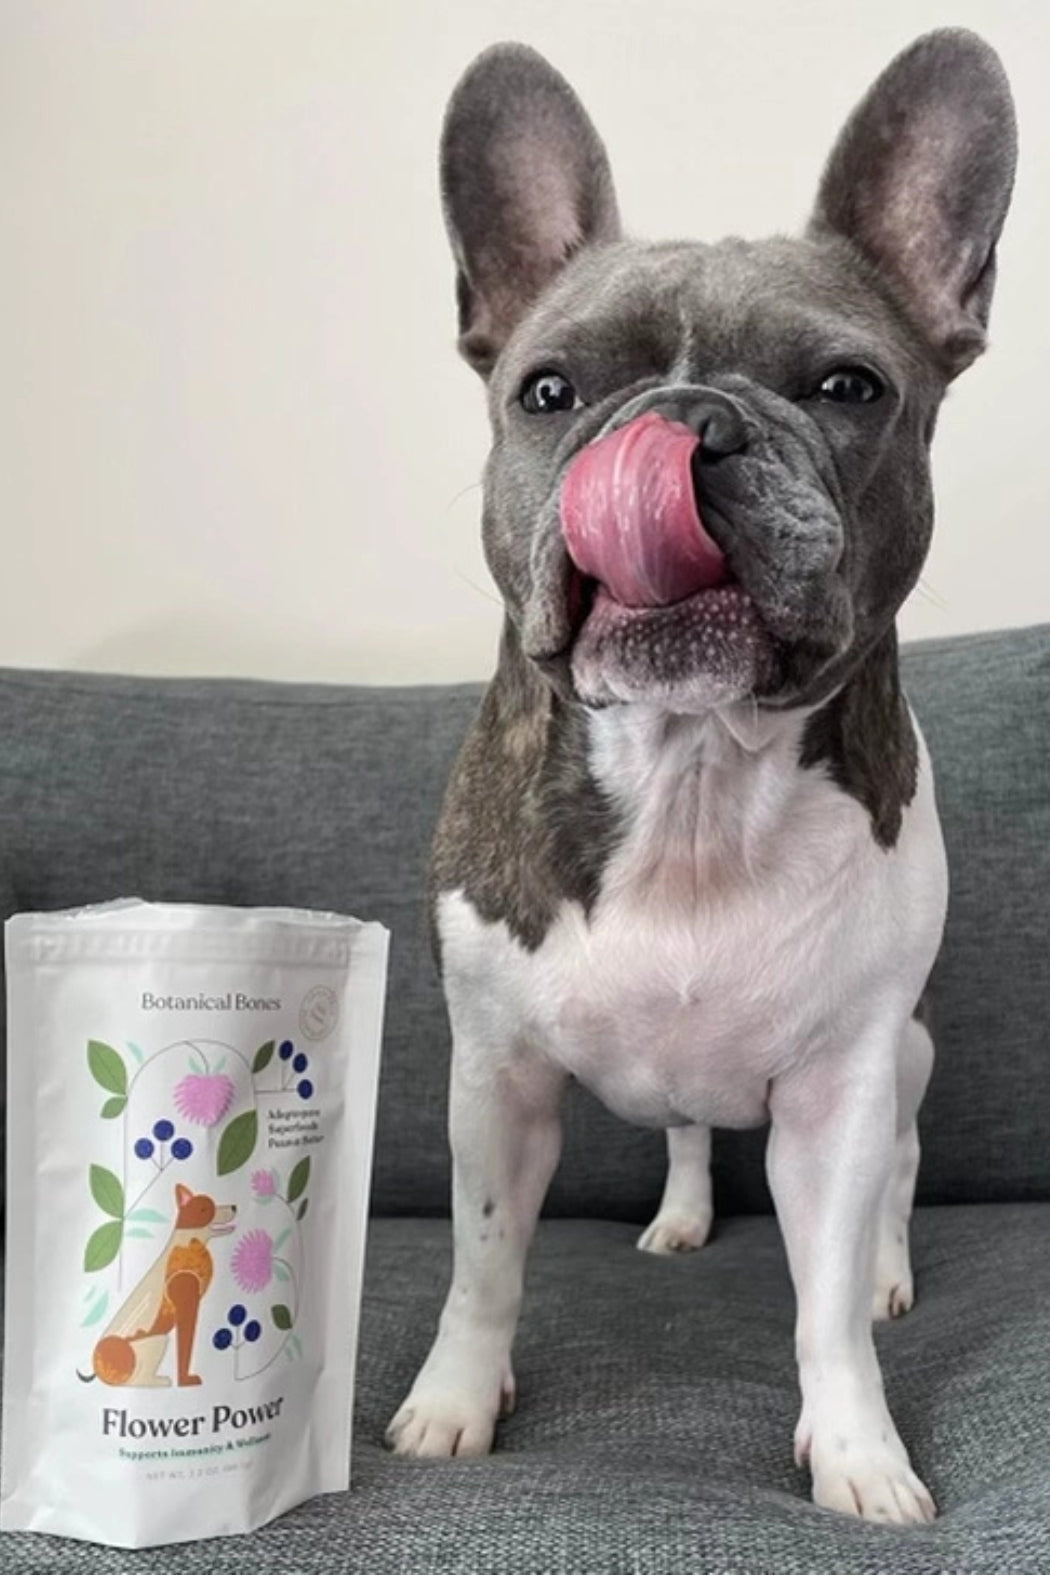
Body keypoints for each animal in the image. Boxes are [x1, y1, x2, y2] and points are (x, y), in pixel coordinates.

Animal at [87, 1184, 236, 1388]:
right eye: (206, 1208)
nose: (234, 1207)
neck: (190, 1244)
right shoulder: (187, 1303)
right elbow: (185, 1346)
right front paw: (185, 1381)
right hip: (158, 1340)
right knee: (136, 1381)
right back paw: (162, 1381)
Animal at [385, 30, 1016, 1523]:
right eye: (548, 391)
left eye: (849, 386)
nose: (683, 423)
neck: (690, 774)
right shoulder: (495, 1077)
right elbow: (483, 1264)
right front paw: (451, 1406)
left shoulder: (841, 1088)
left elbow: (825, 1297)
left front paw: (859, 1454)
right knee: (678, 1134)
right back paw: (674, 1215)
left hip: (906, 1051)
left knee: (901, 1171)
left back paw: (892, 1266)